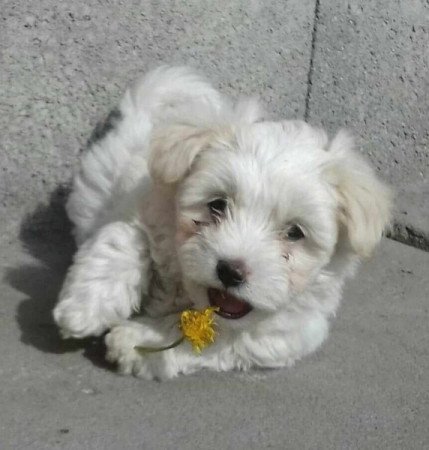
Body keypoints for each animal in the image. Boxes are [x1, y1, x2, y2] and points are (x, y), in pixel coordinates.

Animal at [53, 65, 392, 378]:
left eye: (295, 233)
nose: (231, 271)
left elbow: (221, 337)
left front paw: (137, 342)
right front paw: (85, 307)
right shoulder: (144, 209)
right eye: (217, 205)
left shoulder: (288, 333)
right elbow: (123, 240)